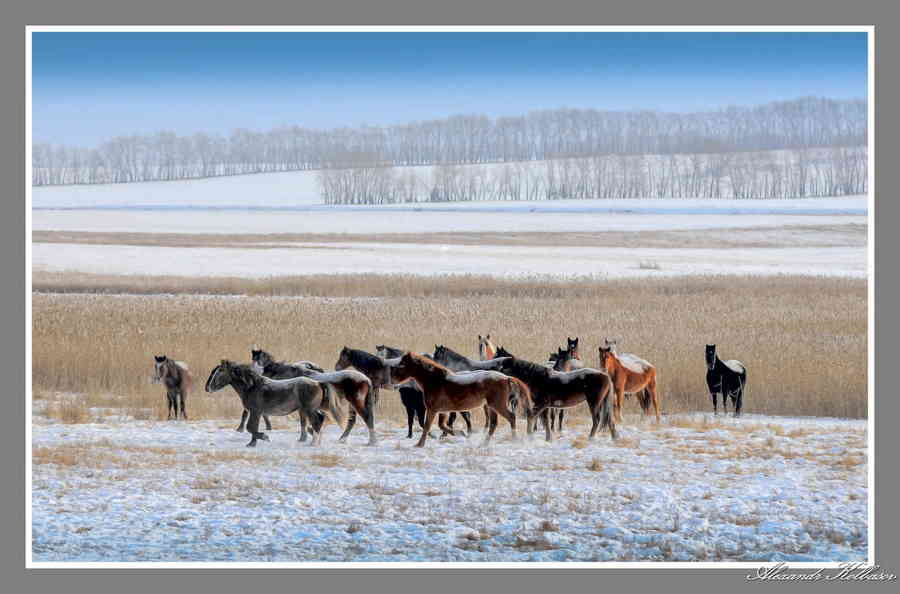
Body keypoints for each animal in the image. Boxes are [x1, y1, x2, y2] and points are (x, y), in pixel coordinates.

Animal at [206, 356, 342, 444]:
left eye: (219, 371)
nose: (207, 388)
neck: (252, 386)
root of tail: (318, 383)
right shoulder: (257, 412)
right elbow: (253, 427)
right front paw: (251, 444)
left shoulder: (255, 411)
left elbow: (251, 427)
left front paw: (264, 437)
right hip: (310, 409)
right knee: (320, 420)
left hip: (309, 409)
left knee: (317, 422)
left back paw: (313, 443)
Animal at [390, 352, 532, 444]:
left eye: (402, 364)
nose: (393, 379)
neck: (435, 381)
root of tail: (506, 378)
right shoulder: (443, 411)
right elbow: (442, 426)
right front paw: (461, 433)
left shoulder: (432, 409)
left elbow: (427, 426)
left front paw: (419, 444)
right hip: (492, 406)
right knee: (493, 423)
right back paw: (484, 442)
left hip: (497, 405)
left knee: (511, 417)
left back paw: (514, 439)